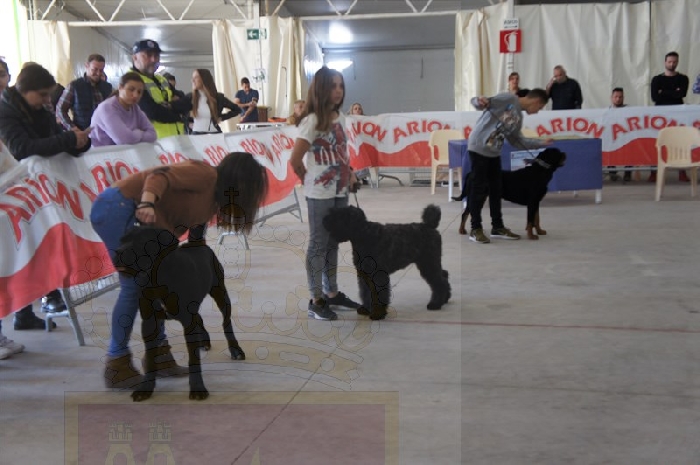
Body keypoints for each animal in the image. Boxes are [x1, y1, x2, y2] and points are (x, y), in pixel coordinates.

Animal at [114, 226, 245, 402]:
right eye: (121, 240)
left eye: (141, 241)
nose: (117, 251)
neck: (157, 278)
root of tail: (198, 242)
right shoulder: (150, 322)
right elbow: (150, 359)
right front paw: (145, 388)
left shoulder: (187, 322)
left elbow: (193, 359)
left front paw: (197, 388)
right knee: (199, 318)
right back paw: (204, 340)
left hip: (220, 293)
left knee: (226, 323)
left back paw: (235, 349)